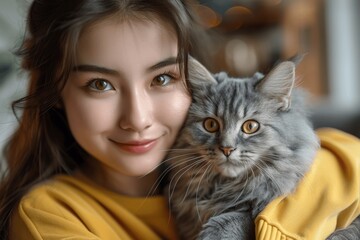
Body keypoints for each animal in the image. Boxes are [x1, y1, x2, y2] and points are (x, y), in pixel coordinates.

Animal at [167, 58, 360, 240]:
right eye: (210, 125)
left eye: (250, 126)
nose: (227, 149)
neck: (222, 187)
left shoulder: (257, 212)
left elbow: (228, 221)